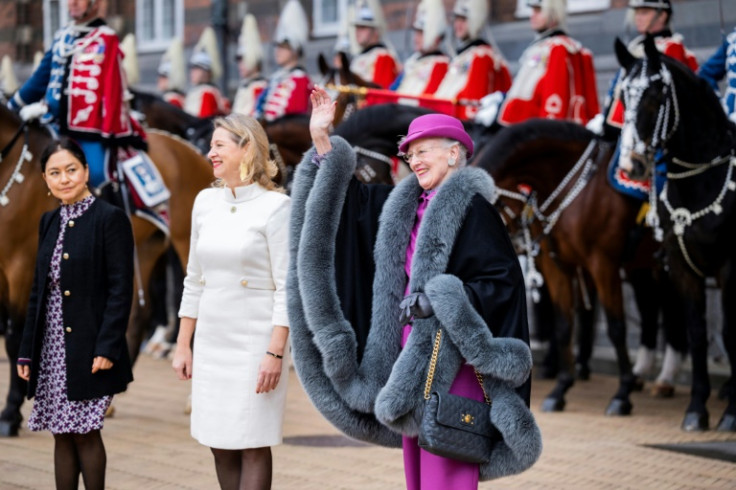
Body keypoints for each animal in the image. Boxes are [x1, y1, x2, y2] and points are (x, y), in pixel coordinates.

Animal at [0, 105, 214, 434]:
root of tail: (191, 151)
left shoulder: (20, 264)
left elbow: (14, 339)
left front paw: (10, 413)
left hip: (187, 245)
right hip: (143, 246)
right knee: (137, 316)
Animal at [616, 35, 736, 432]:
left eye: (656, 97)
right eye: (623, 97)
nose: (631, 166)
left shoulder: (728, 267)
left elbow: (728, 334)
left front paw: (730, 415)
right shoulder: (683, 267)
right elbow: (697, 334)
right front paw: (697, 409)